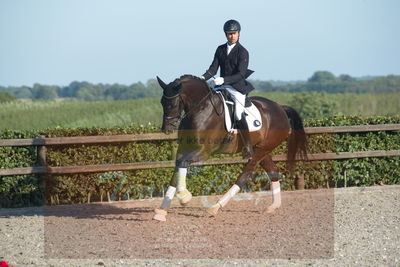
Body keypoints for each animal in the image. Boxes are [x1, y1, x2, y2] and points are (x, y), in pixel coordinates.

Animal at [152, 75, 306, 222]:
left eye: (172, 103)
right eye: (161, 102)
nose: (166, 129)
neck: (201, 109)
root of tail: (281, 108)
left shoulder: (204, 152)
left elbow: (182, 163)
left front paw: (184, 197)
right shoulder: (184, 148)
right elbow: (177, 168)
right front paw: (161, 211)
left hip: (262, 150)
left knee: (244, 176)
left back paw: (215, 208)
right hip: (261, 150)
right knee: (273, 171)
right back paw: (273, 206)